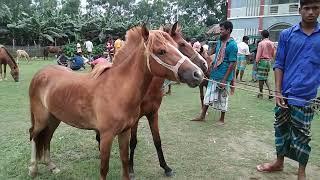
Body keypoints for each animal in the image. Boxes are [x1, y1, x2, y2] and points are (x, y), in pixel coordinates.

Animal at [27, 24, 202, 179]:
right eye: (161, 51)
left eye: (177, 46)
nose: (198, 73)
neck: (117, 89)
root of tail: (40, 74)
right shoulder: (106, 136)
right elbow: (104, 168)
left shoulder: (125, 132)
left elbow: (125, 160)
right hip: (42, 119)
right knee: (34, 135)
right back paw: (33, 169)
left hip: (54, 118)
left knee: (47, 137)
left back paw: (51, 166)